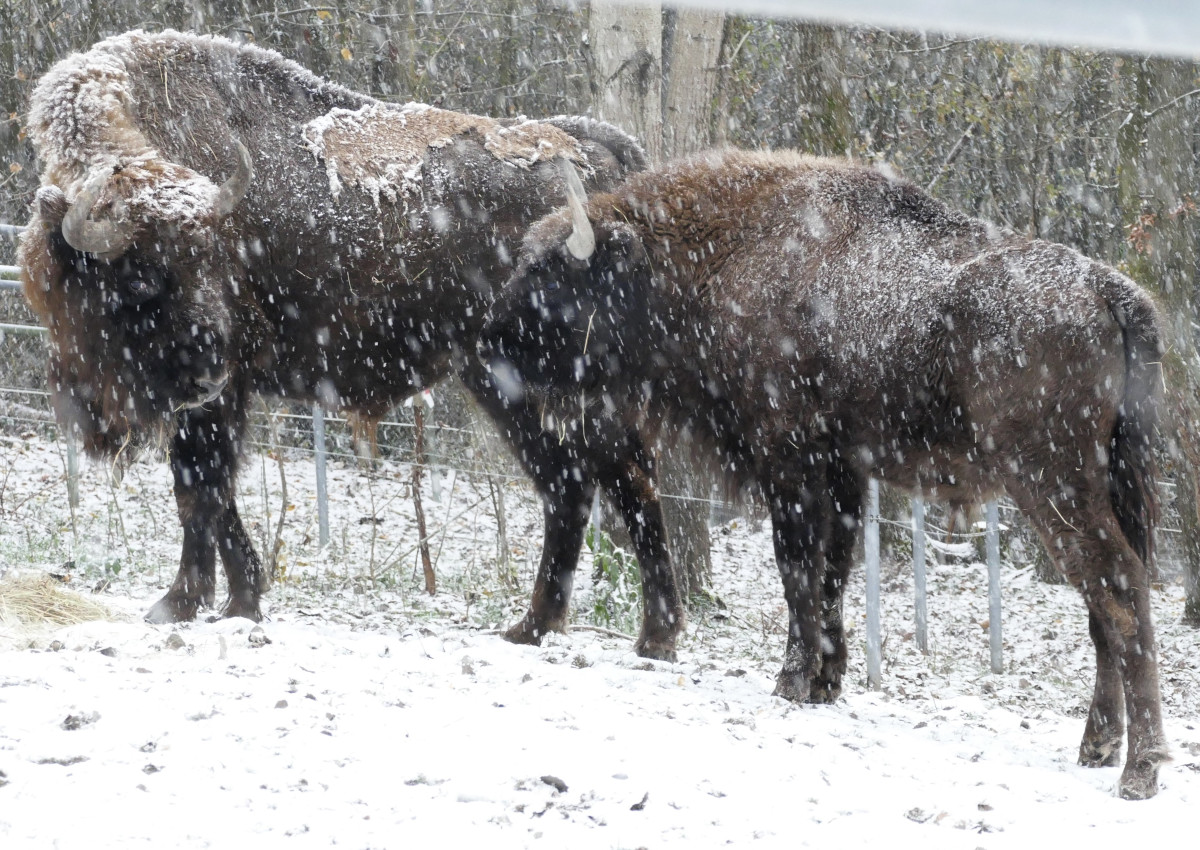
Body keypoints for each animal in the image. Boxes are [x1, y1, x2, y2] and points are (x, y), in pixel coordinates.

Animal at [18, 24, 686, 653]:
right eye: (142, 276)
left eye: (216, 260)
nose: (209, 363)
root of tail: (604, 158)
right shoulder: (206, 402)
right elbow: (212, 492)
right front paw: (230, 600)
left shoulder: (218, 401)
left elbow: (201, 489)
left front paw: (187, 604)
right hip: (512, 383)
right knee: (574, 483)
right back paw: (552, 629)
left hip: (544, 383)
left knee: (615, 479)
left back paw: (633, 634)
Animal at [480, 149, 1171, 801]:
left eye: (551, 274)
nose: (489, 337)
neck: (726, 251)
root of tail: (1113, 293)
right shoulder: (844, 474)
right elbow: (834, 572)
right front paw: (826, 683)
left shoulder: (786, 463)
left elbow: (797, 569)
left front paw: (790, 679)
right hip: (1104, 483)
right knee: (1105, 599)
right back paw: (1098, 747)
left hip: (1052, 484)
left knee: (1117, 588)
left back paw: (1139, 770)